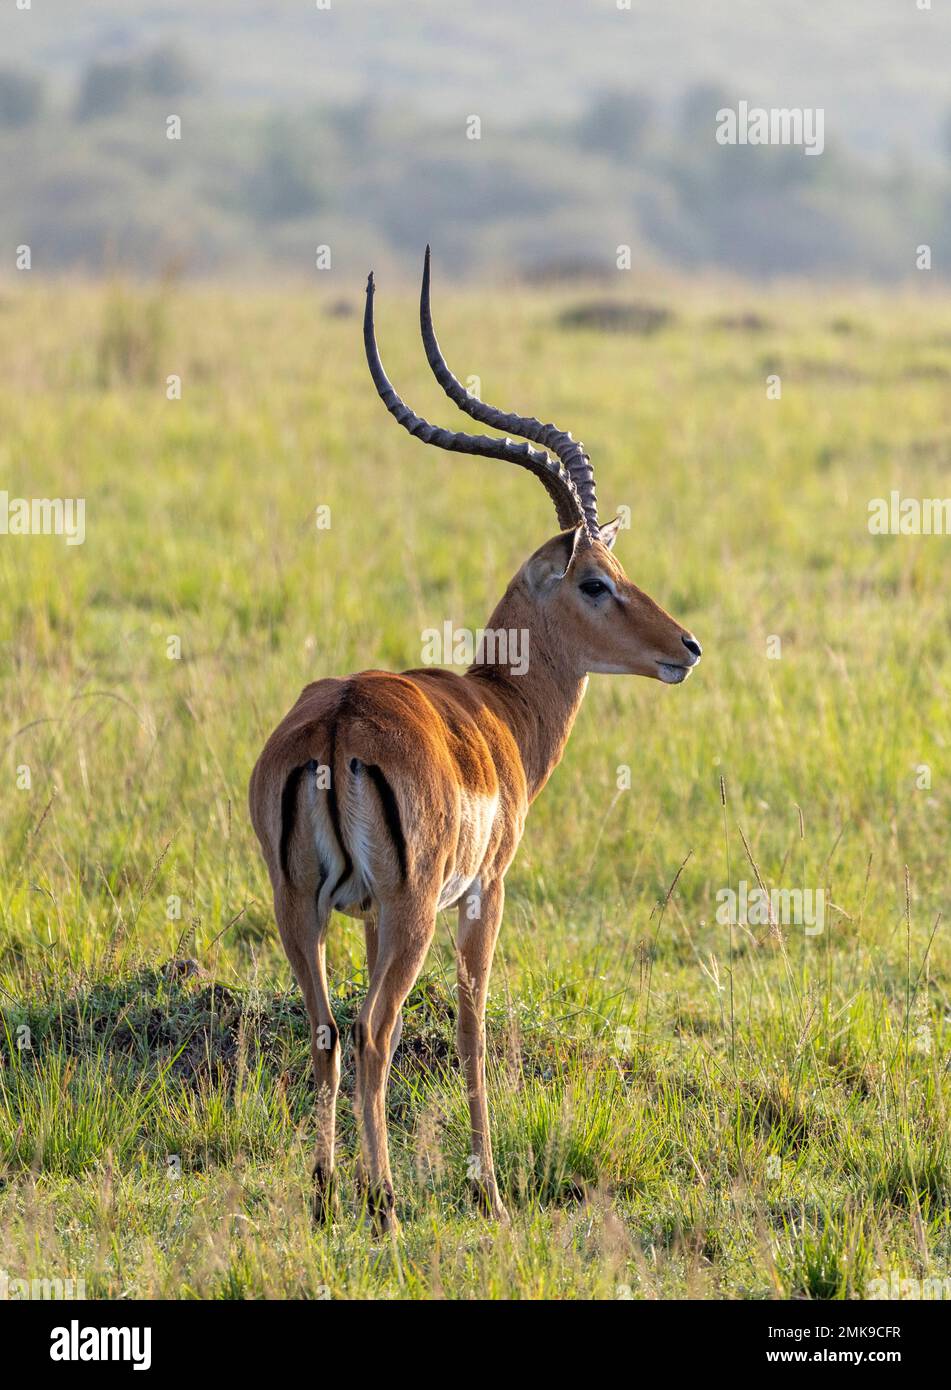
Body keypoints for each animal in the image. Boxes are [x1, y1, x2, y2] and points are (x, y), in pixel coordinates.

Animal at [249, 248, 701, 1234]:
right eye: (596, 582)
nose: (685, 647)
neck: (497, 709)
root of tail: (337, 721)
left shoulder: (362, 916)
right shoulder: (483, 893)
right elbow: (472, 1031)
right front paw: (487, 1190)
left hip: (298, 907)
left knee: (326, 1031)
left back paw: (327, 1197)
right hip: (411, 911)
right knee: (374, 1033)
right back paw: (382, 1205)